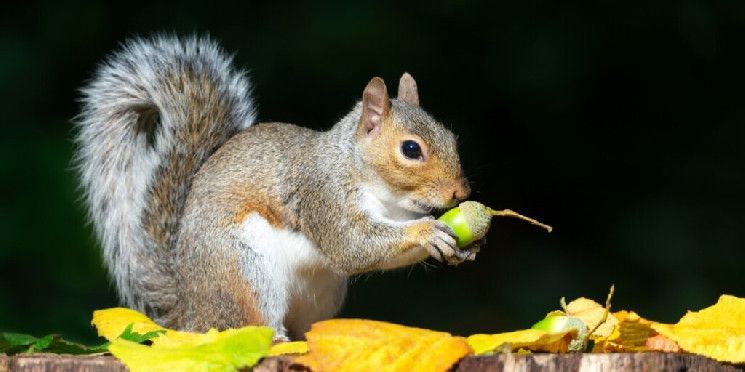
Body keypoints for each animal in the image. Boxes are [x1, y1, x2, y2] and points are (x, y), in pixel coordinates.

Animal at [75, 35, 476, 340]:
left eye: (451, 137)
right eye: (411, 149)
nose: (461, 193)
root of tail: (191, 313)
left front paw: (463, 247)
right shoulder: (323, 195)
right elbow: (352, 246)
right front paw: (427, 233)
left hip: (320, 293)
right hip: (245, 267)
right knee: (247, 324)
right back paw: (275, 338)